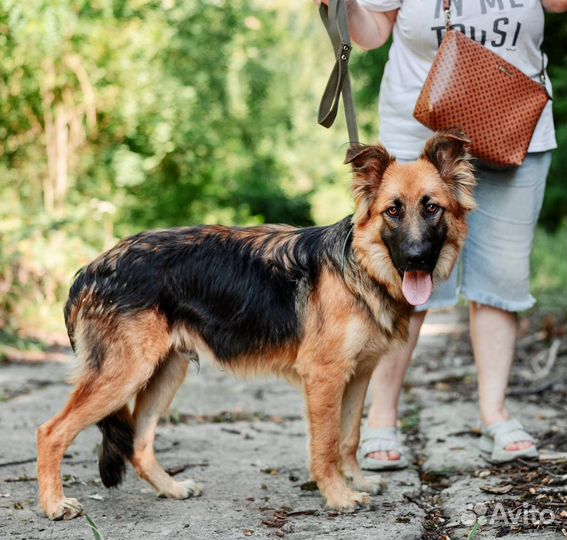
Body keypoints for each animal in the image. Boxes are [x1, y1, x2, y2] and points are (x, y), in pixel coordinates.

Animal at [37, 130, 478, 520]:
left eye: (432, 208)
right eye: (393, 211)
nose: (417, 258)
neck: (361, 266)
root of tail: (90, 270)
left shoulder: (358, 374)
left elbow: (350, 436)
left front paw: (357, 480)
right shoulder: (325, 376)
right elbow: (327, 443)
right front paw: (338, 495)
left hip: (164, 373)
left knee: (139, 444)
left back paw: (171, 488)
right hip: (125, 374)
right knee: (51, 432)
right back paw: (55, 505)